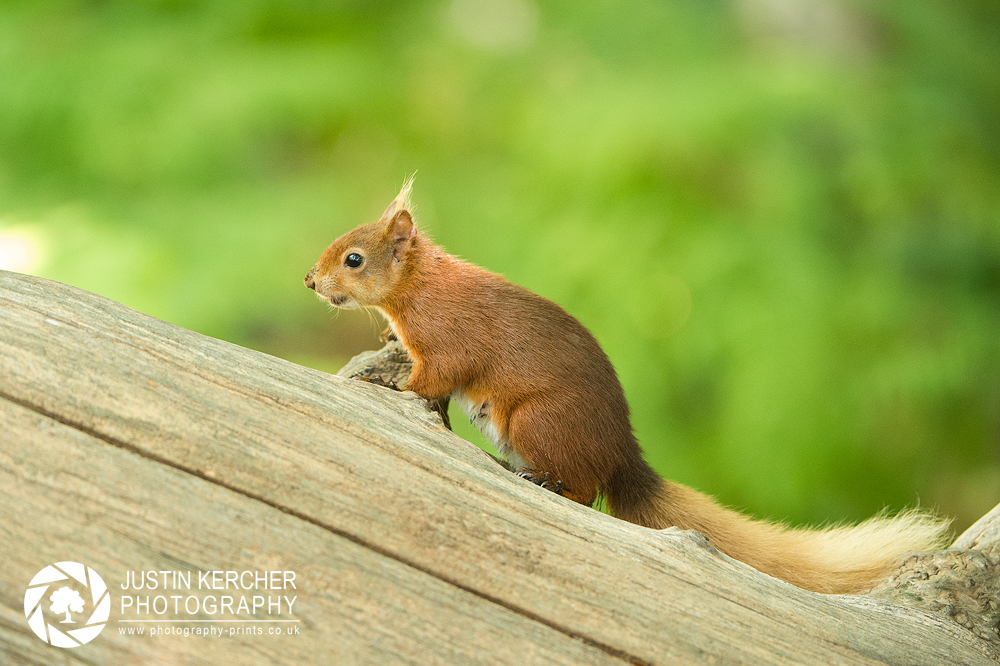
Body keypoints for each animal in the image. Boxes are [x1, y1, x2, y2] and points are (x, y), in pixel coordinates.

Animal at [304, 178, 944, 592]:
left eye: (354, 259)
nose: (309, 280)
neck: (419, 289)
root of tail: (621, 455)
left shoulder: (450, 343)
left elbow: (429, 379)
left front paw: (390, 385)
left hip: (534, 420)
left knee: (585, 491)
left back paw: (544, 481)